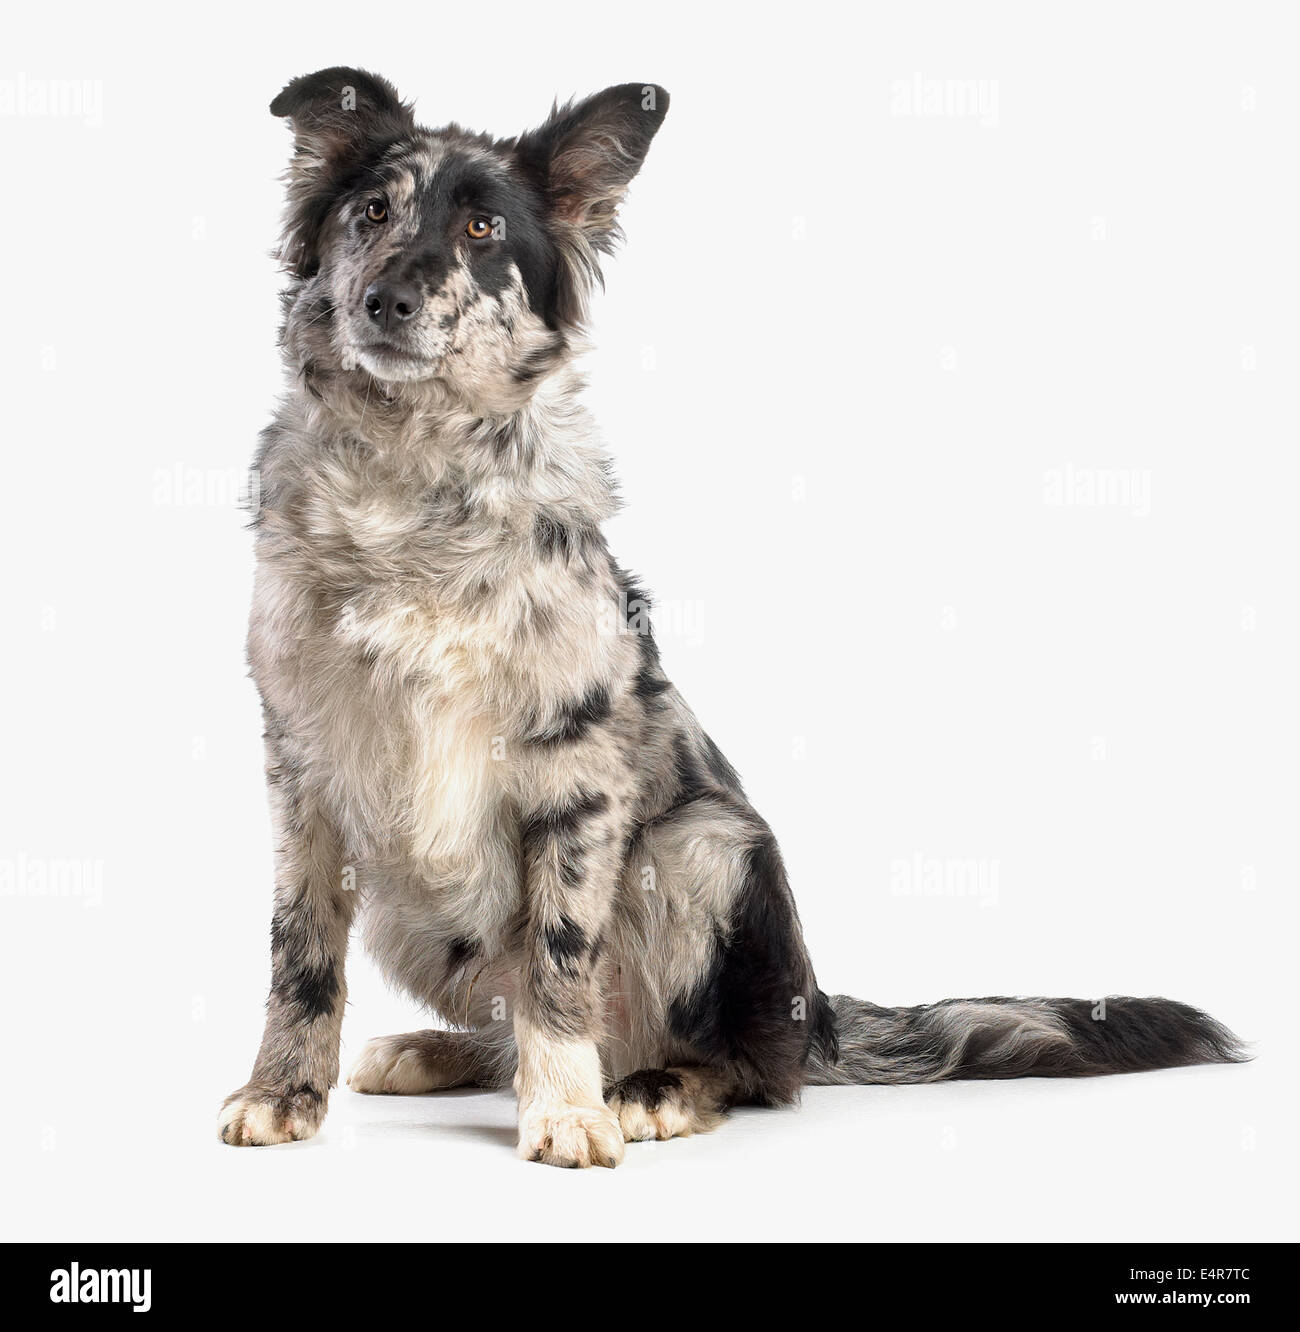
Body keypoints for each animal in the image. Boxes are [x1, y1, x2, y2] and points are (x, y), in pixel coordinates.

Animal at [218, 70, 1246, 1166]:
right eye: (371, 212)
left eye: (483, 228)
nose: (387, 300)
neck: (412, 484)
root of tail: (819, 1014)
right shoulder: (304, 768)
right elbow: (300, 953)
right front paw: (283, 1092)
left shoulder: (576, 770)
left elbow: (557, 960)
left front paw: (568, 1110)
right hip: (413, 907)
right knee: (505, 1026)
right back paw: (437, 1050)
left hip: (707, 847)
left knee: (745, 1066)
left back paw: (648, 1086)